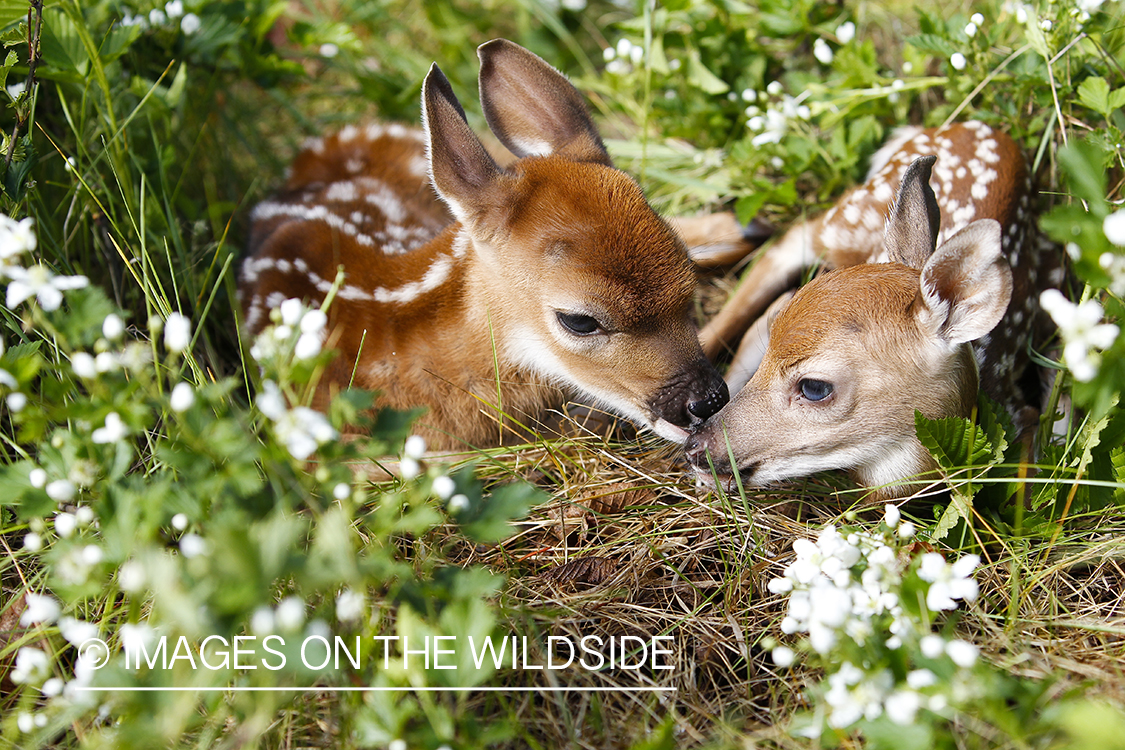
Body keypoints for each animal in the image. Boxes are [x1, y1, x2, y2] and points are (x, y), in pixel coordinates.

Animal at [685, 122, 1060, 497]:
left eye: (814, 387)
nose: (696, 446)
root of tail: (985, 128)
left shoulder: (1017, 411)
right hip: (851, 215)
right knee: (788, 242)